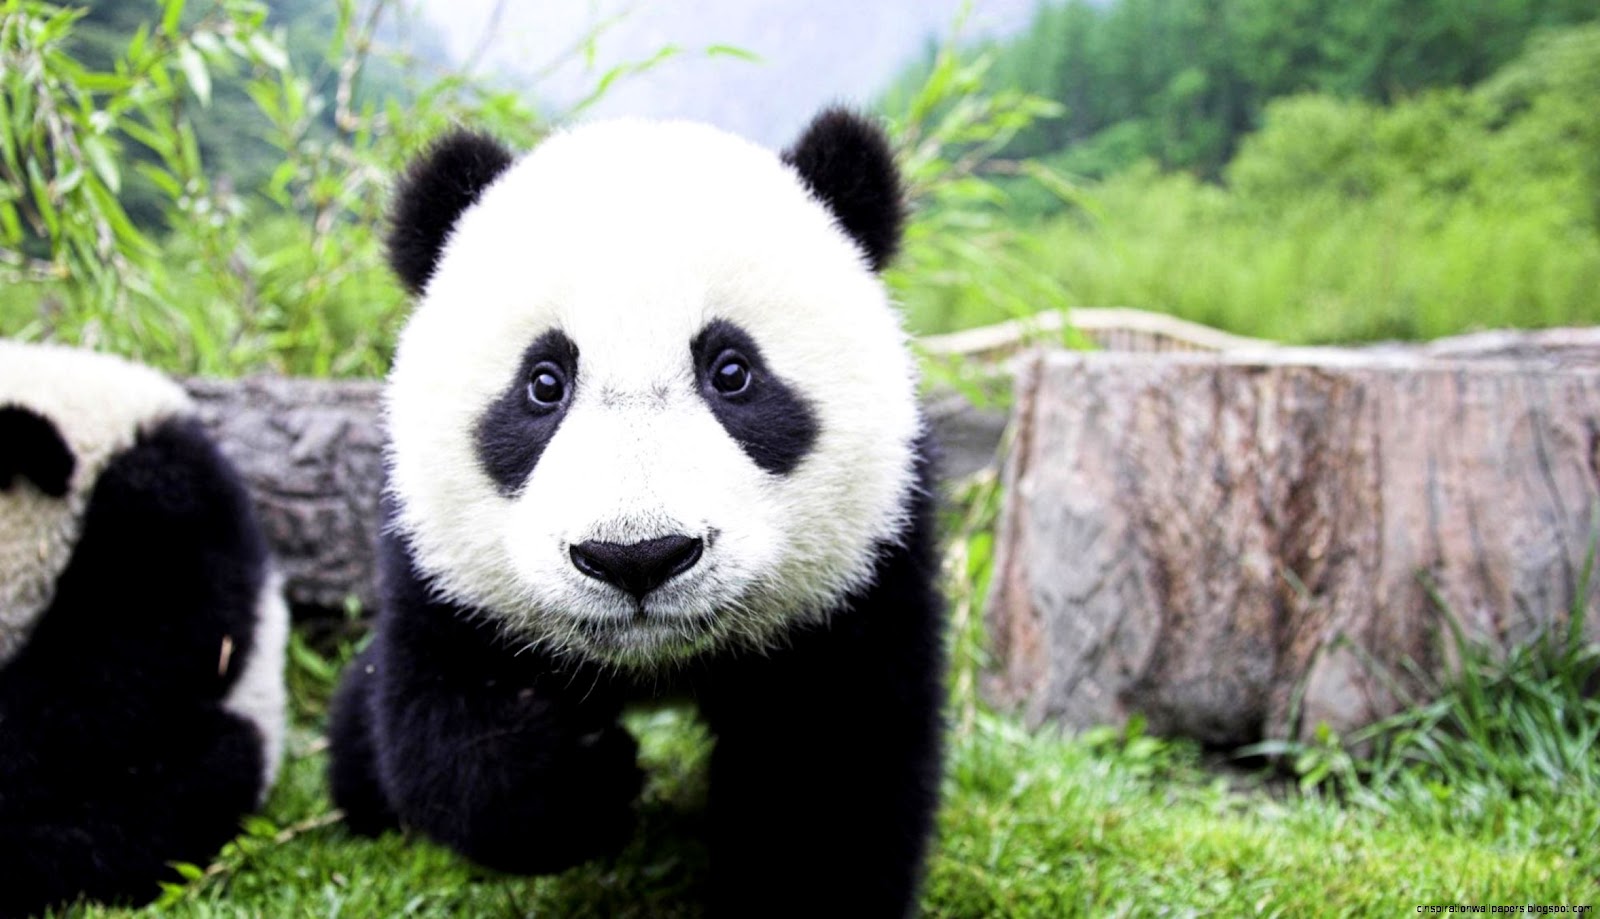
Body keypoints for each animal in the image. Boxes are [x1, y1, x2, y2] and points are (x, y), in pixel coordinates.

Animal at [327, 108, 946, 916]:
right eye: (544, 382)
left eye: (732, 372)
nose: (637, 557)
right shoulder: (434, 563)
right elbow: (442, 720)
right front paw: (585, 778)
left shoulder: (869, 563)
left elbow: (831, 770)